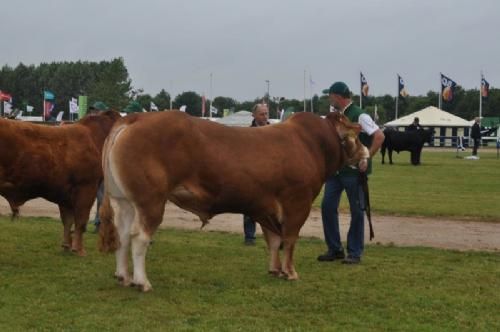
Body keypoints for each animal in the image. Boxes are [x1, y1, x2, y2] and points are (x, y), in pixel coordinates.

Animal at [0, 111, 120, 254]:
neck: (94, 138)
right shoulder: (87, 187)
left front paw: (67, 245)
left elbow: (67, 220)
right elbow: (81, 220)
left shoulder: (65, 194)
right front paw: (79, 249)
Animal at [99, 109, 370, 290]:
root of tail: (135, 118)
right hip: (151, 201)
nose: (367, 153)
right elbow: (290, 239)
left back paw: (123, 276)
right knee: (139, 237)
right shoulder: (297, 203)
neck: (312, 144)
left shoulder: (264, 206)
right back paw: (142, 282)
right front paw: (290, 272)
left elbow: (274, 240)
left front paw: (275, 270)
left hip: (125, 201)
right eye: (356, 137)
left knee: (122, 235)